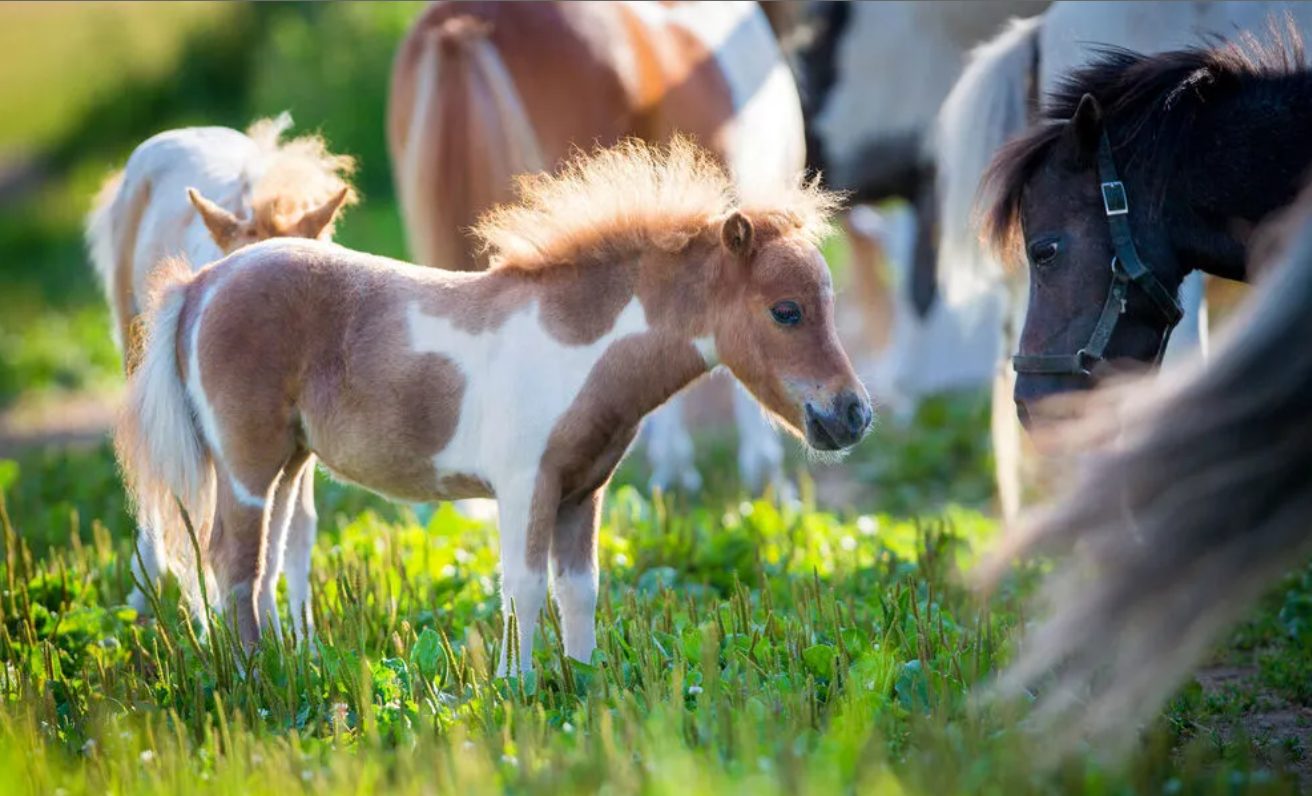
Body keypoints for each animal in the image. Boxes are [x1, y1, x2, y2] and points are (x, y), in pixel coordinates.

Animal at [86, 113, 356, 634]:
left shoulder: (300, 434)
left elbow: (297, 525)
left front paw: (301, 636)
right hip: (139, 358)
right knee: (156, 482)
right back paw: (146, 594)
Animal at [113, 138, 870, 671]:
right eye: (786, 311)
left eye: (830, 303)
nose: (853, 414)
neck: (575, 344)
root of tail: (204, 283)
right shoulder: (526, 484)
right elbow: (523, 586)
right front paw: (518, 688)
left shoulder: (583, 492)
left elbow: (579, 589)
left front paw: (582, 684)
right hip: (245, 463)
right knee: (231, 562)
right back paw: (255, 678)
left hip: (292, 463)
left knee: (268, 562)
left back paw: (287, 666)